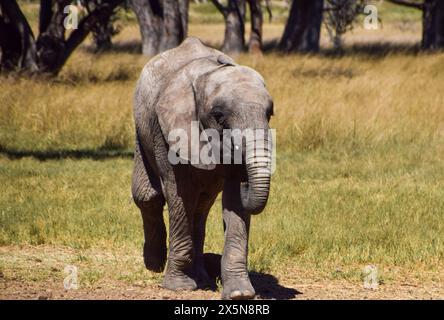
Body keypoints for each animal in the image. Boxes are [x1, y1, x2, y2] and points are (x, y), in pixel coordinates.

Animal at [131, 37, 274, 300]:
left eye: (270, 113)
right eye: (218, 115)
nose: (246, 183)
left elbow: (234, 204)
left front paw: (240, 294)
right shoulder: (169, 130)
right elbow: (179, 195)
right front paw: (179, 287)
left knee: (202, 206)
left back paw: (201, 278)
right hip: (141, 128)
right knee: (148, 196)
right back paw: (155, 266)